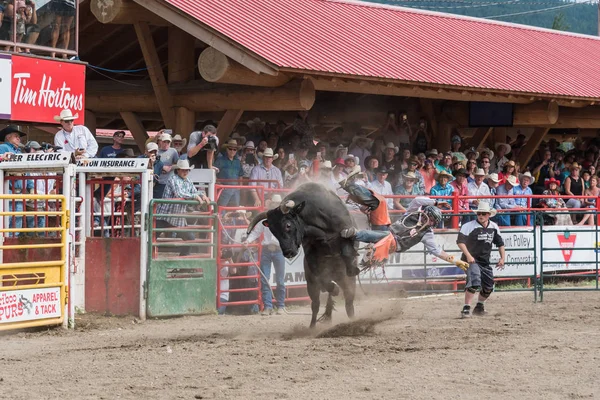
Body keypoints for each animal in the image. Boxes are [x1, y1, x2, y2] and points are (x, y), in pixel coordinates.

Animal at [247, 183, 358, 326]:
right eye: (272, 230)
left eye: (288, 225)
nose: (288, 252)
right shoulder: (311, 259)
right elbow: (322, 279)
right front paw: (334, 289)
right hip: (312, 284)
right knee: (316, 304)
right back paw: (312, 326)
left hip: (346, 280)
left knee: (349, 302)